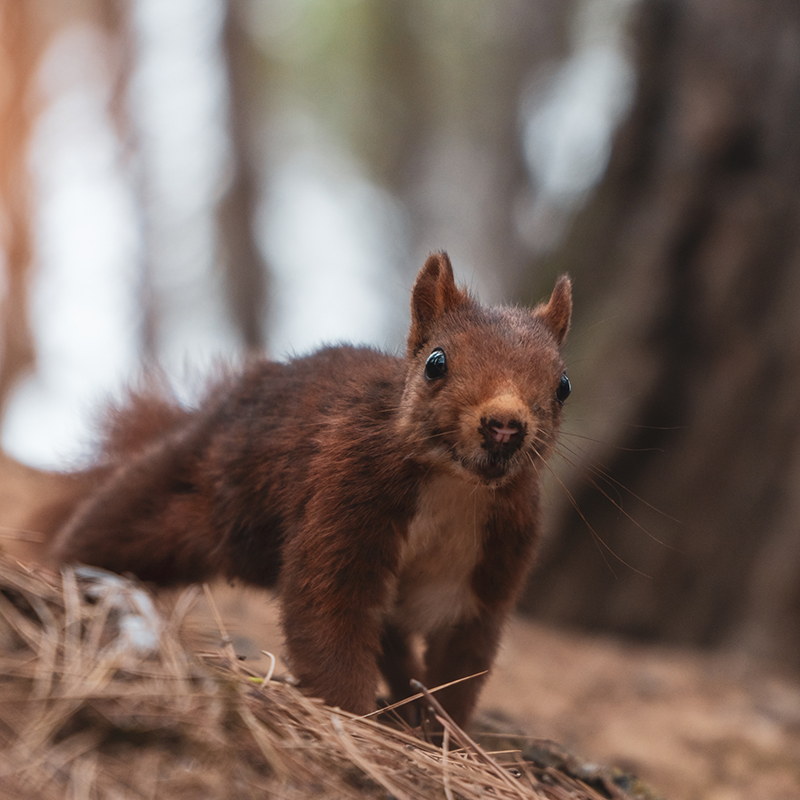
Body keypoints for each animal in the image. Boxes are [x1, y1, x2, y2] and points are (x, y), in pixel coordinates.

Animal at [49, 252, 572, 731]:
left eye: (563, 384)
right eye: (435, 363)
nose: (504, 426)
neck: (454, 485)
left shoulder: (488, 566)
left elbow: (461, 660)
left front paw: (443, 731)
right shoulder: (343, 496)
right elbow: (328, 613)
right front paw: (353, 715)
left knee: (392, 641)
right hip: (184, 494)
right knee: (115, 521)